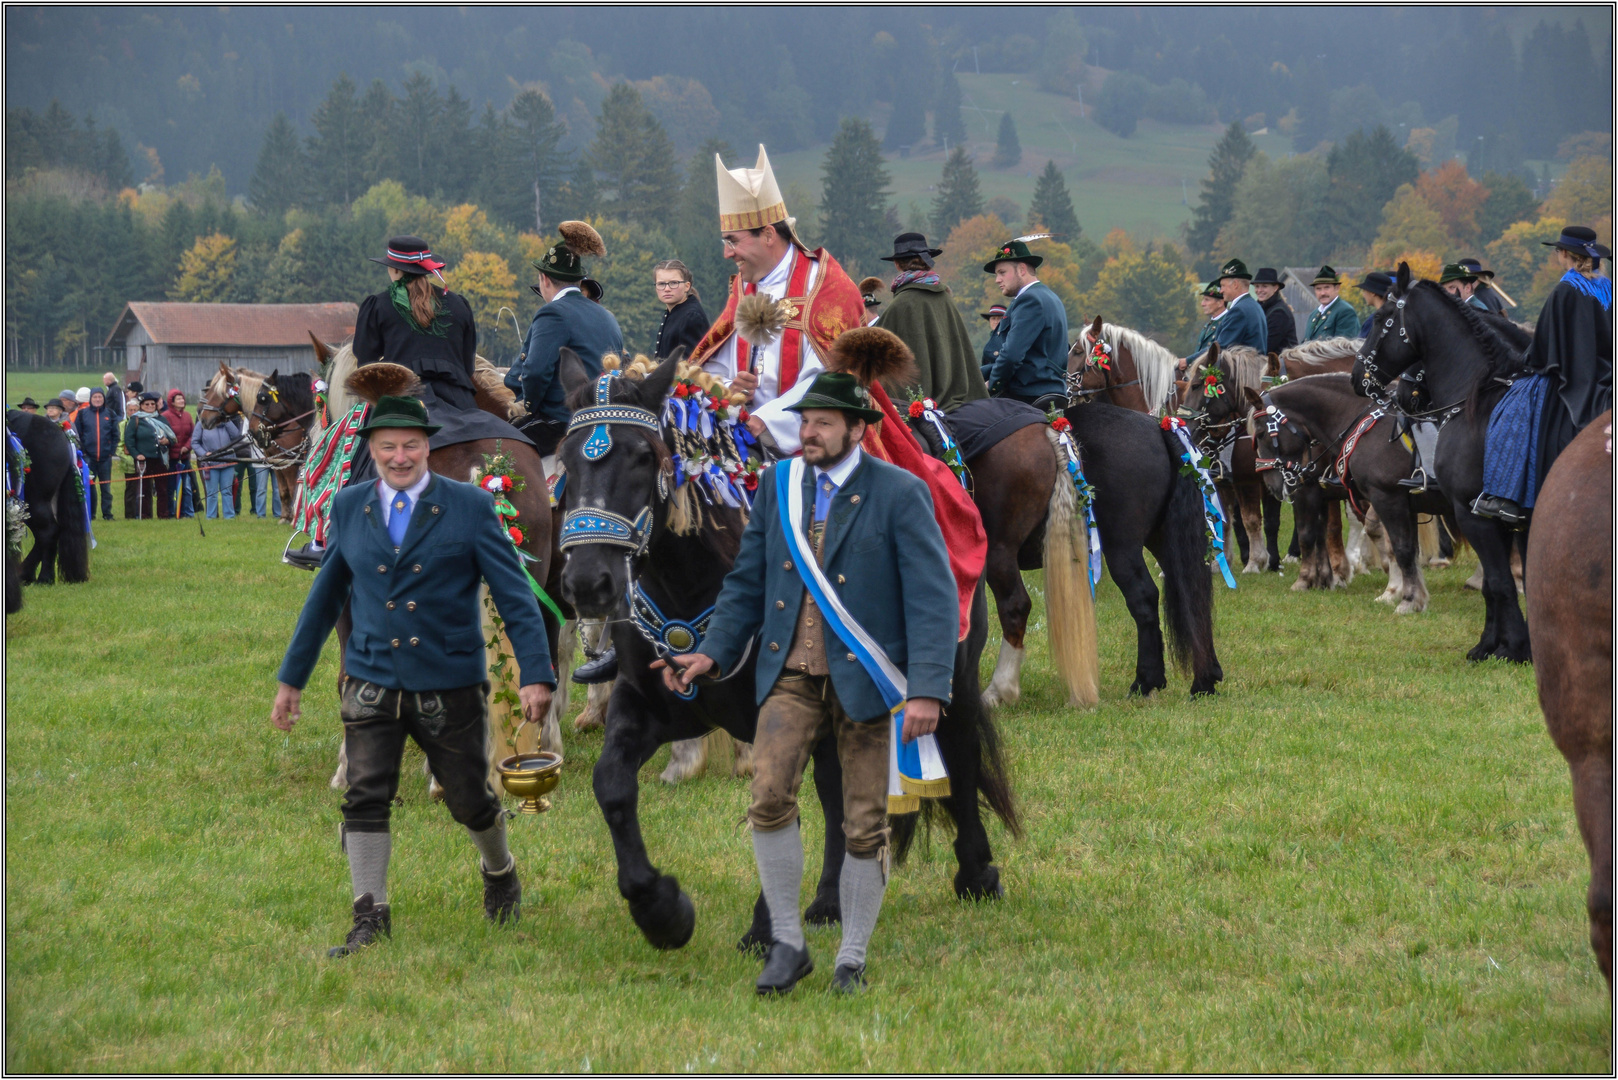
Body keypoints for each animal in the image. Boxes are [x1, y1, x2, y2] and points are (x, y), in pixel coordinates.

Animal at [1359, 268, 1533, 660]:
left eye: (1380, 318)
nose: (1356, 378)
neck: (1479, 400)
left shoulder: (1473, 512)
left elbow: (1499, 582)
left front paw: (1506, 647)